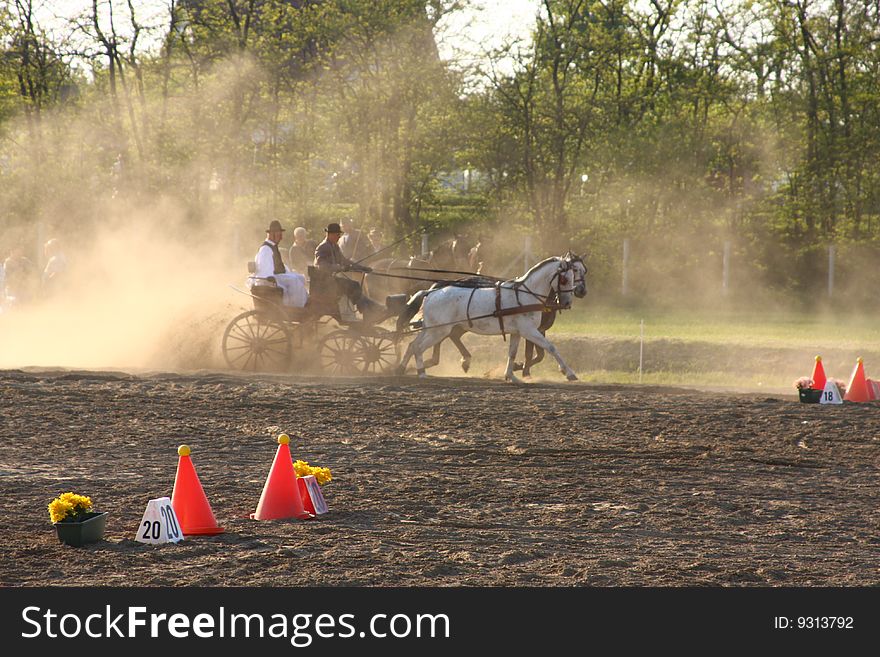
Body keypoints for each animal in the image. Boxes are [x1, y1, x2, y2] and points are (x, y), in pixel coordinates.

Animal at [396, 254, 588, 382]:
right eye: (565, 278)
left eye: (580, 272)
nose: (567, 301)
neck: (526, 295)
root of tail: (431, 292)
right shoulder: (530, 331)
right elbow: (551, 348)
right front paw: (569, 373)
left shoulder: (517, 332)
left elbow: (512, 353)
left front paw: (510, 375)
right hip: (439, 331)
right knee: (419, 347)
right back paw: (421, 372)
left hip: (432, 329)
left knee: (412, 344)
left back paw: (401, 368)